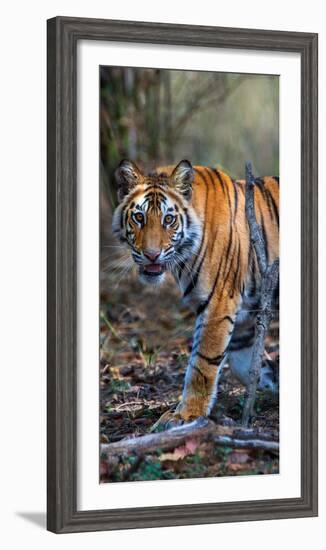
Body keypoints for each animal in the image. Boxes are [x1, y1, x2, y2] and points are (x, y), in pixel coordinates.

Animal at [112, 160, 280, 432]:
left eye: (169, 219)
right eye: (139, 217)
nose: (151, 255)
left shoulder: (219, 304)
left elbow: (202, 364)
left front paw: (185, 416)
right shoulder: (243, 316)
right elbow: (245, 364)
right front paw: (274, 378)